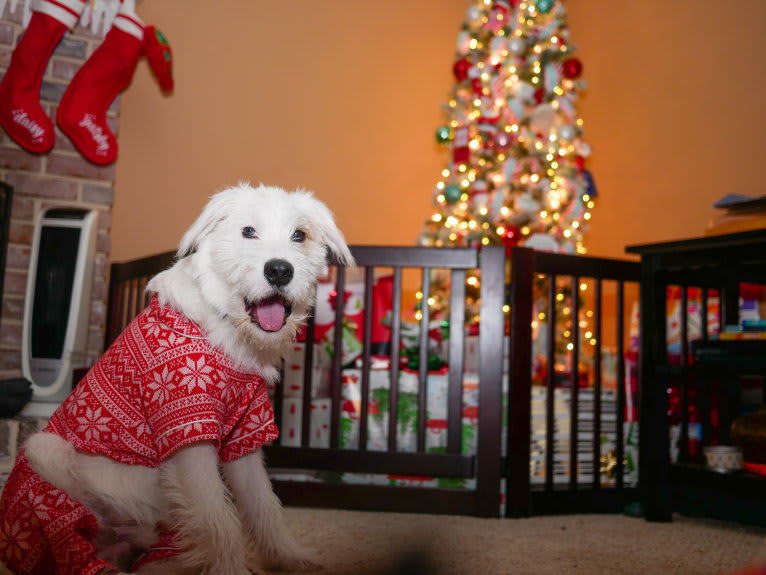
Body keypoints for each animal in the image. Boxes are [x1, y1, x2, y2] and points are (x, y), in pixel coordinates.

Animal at [0, 186, 354, 575]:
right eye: (248, 231)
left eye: (299, 235)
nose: (279, 270)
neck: (223, 330)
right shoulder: (188, 437)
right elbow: (220, 520)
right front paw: (233, 568)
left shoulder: (244, 436)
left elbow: (264, 506)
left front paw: (288, 557)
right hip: (45, 452)